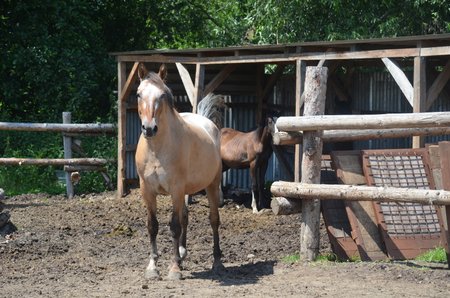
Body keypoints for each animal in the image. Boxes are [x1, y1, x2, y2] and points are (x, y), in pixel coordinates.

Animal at [134, 63, 224, 280]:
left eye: (162, 95)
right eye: (139, 94)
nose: (149, 128)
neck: (156, 150)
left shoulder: (175, 189)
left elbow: (174, 226)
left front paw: (174, 269)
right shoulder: (147, 191)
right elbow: (153, 226)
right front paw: (152, 267)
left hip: (211, 185)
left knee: (214, 219)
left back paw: (217, 261)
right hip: (185, 191)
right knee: (185, 215)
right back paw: (182, 253)